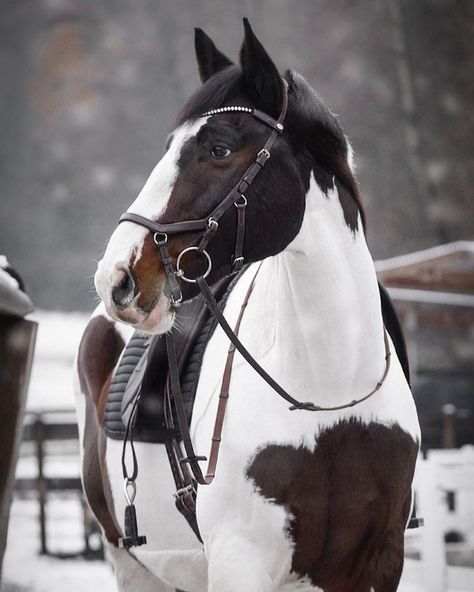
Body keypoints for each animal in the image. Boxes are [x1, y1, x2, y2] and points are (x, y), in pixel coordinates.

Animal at [75, 19, 422, 592]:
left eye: (218, 148)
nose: (117, 278)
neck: (327, 400)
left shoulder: (377, 562)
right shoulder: (242, 561)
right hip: (132, 564)